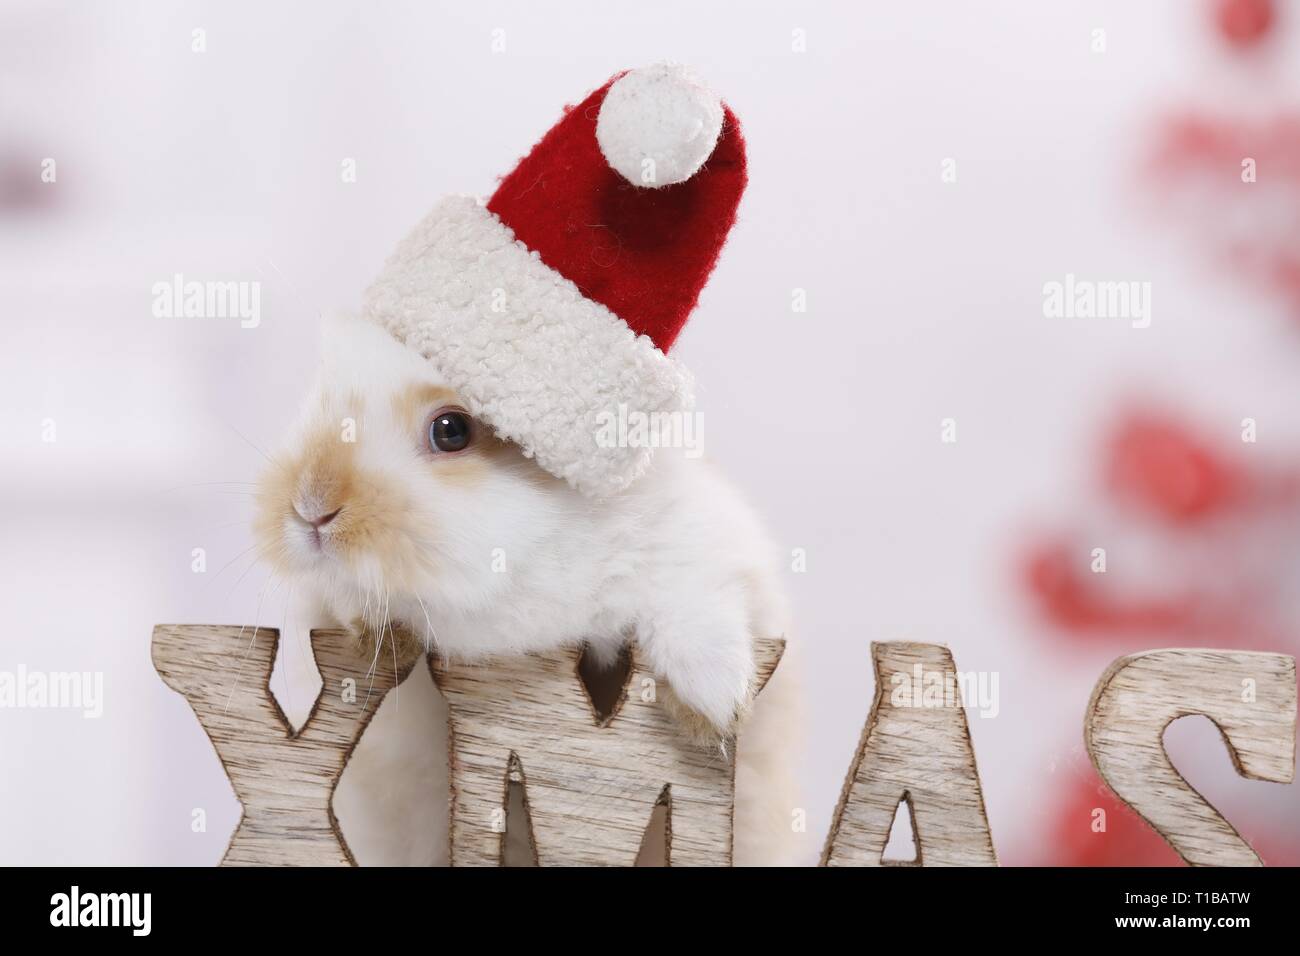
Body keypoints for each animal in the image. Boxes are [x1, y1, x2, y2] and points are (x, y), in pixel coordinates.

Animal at [253, 314, 801, 865]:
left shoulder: (706, 549)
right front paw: (375, 636)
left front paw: (714, 706)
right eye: (319, 403)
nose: (309, 507)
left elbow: (695, 601)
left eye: (451, 430)